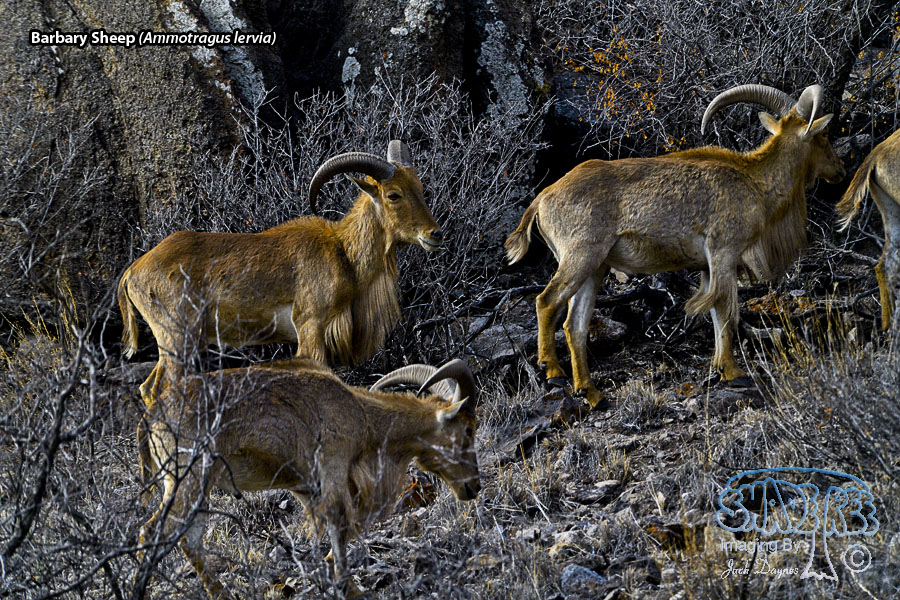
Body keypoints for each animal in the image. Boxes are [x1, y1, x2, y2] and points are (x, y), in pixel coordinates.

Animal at [118, 140, 443, 407]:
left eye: (420, 189)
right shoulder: (311, 326)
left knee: (149, 388)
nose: (434, 235)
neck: (342, 252)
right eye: (393, 195)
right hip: (175, 337)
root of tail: (132, 271)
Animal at [136, 358, 480, 599]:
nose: (473, 486)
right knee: (151, 531)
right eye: (467, 430)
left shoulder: (306, 486)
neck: (361, 414)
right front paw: (351, 588)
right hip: (188, 480)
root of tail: (151, 415)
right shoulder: (334, 466)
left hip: (196, 488)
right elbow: (339, 523)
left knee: (190, 541)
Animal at [505, 84, 845, 408]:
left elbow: (716, 313)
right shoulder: (724, 251)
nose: (838, 170)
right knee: (546, 301)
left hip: (596, 268)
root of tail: (542, 199)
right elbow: (725, 309)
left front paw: (718, 368)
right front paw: (734, 373)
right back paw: (554, 372)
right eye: (824, 135)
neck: (754, 181)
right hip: (580, 256)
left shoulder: (707, 264)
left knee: (575, 325)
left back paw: (593, 395)